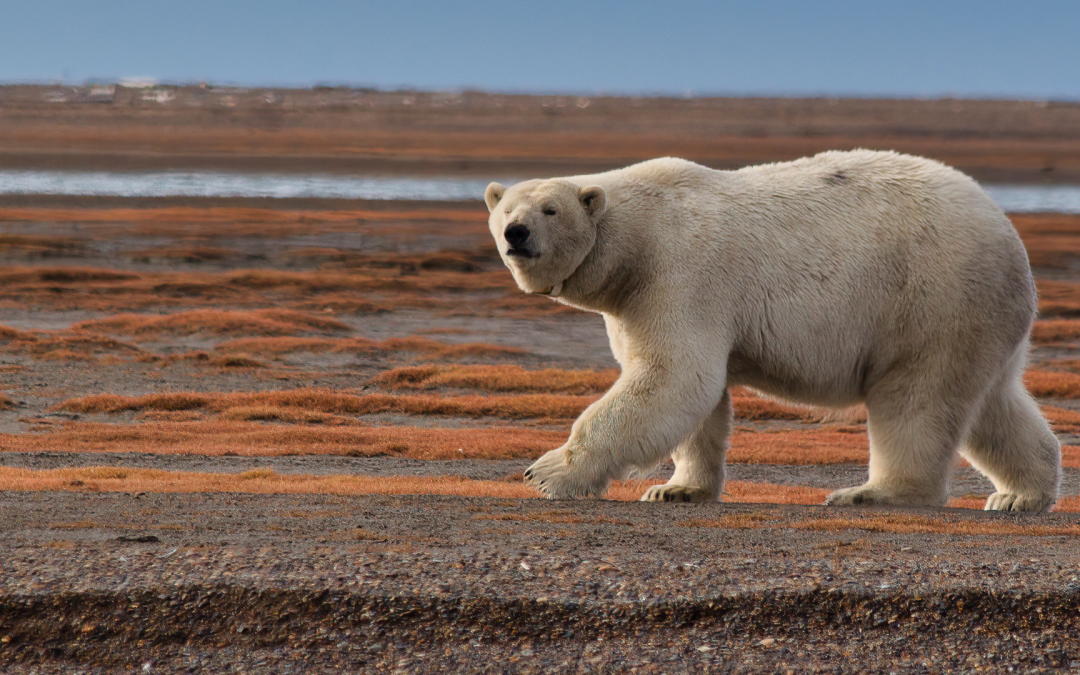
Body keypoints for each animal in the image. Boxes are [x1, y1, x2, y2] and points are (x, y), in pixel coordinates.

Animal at [485, 149, 1062, 512]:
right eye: (506, 208)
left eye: (550, 209)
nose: (516, 233)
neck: (634, 243)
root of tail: (1009, 235)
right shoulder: (636, 301)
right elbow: (695, 396)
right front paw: (676, 490)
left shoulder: (679, 274)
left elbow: (674, 377)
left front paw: (547, 473)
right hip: (978, 318)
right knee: (994, 403)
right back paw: (1020, 494)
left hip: (930, 298)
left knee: (915, 399)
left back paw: (871, 493)